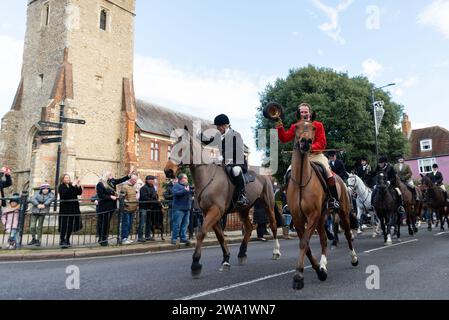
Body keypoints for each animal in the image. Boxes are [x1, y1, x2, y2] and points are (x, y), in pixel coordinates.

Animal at [161, 127, 280, 278]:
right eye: (171, 148)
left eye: (182, 149)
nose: (168, 171)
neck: (207, 176)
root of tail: (265, 176)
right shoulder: (209, 213)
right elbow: (220, 236)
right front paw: (226, 260)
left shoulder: (215, 211)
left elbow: (202, 233)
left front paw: (196, 263)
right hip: (243, 209)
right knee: (248, 227)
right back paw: (242, 254)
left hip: (267, 204)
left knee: (274, 225)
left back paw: (276, 252)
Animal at [288, 120, 358, 290]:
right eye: (296, 127)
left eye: (313, 128)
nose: (306, 142)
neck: (301, 180)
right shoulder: (298, 218)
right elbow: (305, 245)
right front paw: (318, 271)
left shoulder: (312, 215)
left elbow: (304, 243)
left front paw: (298, 276)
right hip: (322, 217)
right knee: (324, 239)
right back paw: (323, 265)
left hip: (342, 213)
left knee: (347, 234)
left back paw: (353, 258)